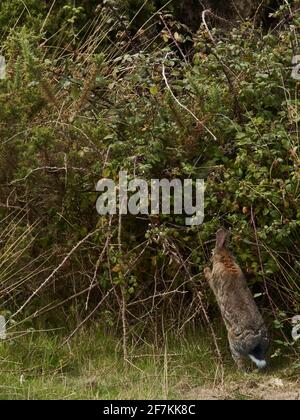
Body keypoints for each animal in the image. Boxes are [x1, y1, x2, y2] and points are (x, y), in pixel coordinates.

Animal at [204, 230, 270, 370]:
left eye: (212, 252)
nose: (210, 259)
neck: (226, 259)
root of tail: (255, 341)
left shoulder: (215, 281)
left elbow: (210, 280)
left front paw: (205, 270)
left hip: (233, 340)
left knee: (239, 359)